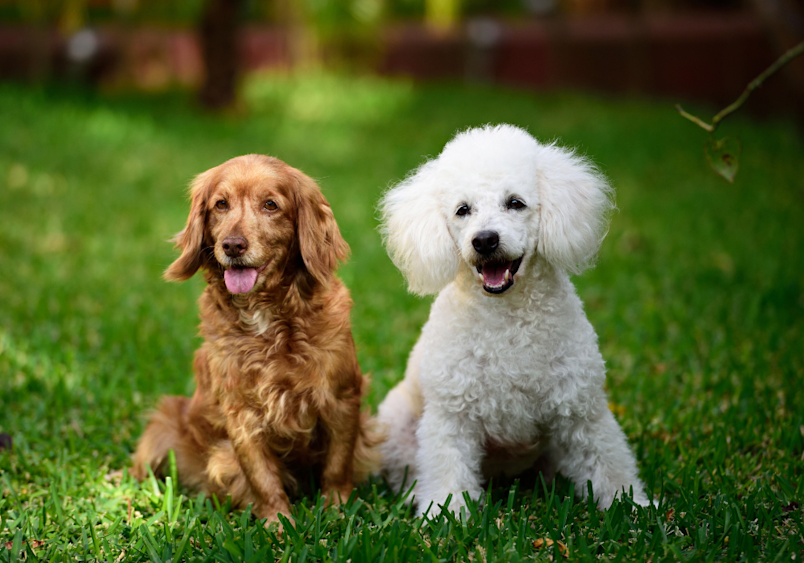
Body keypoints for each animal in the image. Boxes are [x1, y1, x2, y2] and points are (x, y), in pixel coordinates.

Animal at [133, 152, 380, 528]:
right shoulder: (241, 415)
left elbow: (338, 466)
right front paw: (278, 524)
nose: (233, 245)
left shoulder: (341, 398)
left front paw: (338, 512)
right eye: (221, 204)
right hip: (161, 425)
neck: (267, 318)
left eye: (270, 205)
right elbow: (262, 477)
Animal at [378, 124, 652, 520]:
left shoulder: (581, 406)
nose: (484, 240)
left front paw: (631, 506)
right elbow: (448, 469)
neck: (506, 317)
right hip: (396, 426)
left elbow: (607, 459)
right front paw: (445, 514)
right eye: (463, 210)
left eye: (515, 203)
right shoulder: (451, 415)